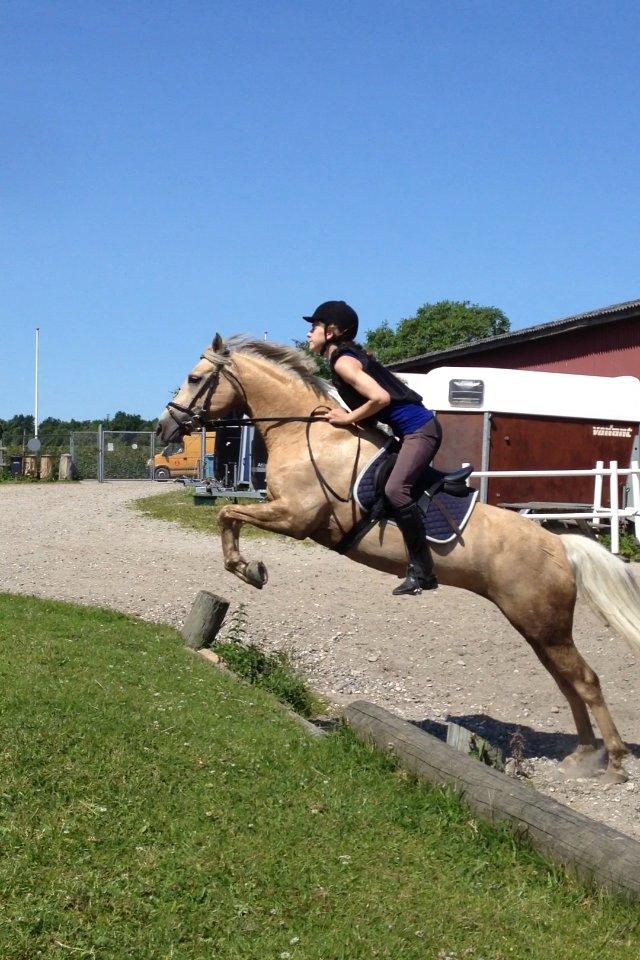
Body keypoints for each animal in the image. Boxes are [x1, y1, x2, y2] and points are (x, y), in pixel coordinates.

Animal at [158, 334, 640, 784]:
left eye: (195, 379)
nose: (165, 429)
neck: (307, 433)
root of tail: (559, 545)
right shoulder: (283, 512)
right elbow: (229, 517)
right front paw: (247, 569)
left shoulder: (296, 517)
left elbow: (226, 513)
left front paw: (249, 570)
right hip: (536, 626)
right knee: (567, 682)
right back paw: (582, 754)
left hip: (544, 625)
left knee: (585, 681)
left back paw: (614, 761)